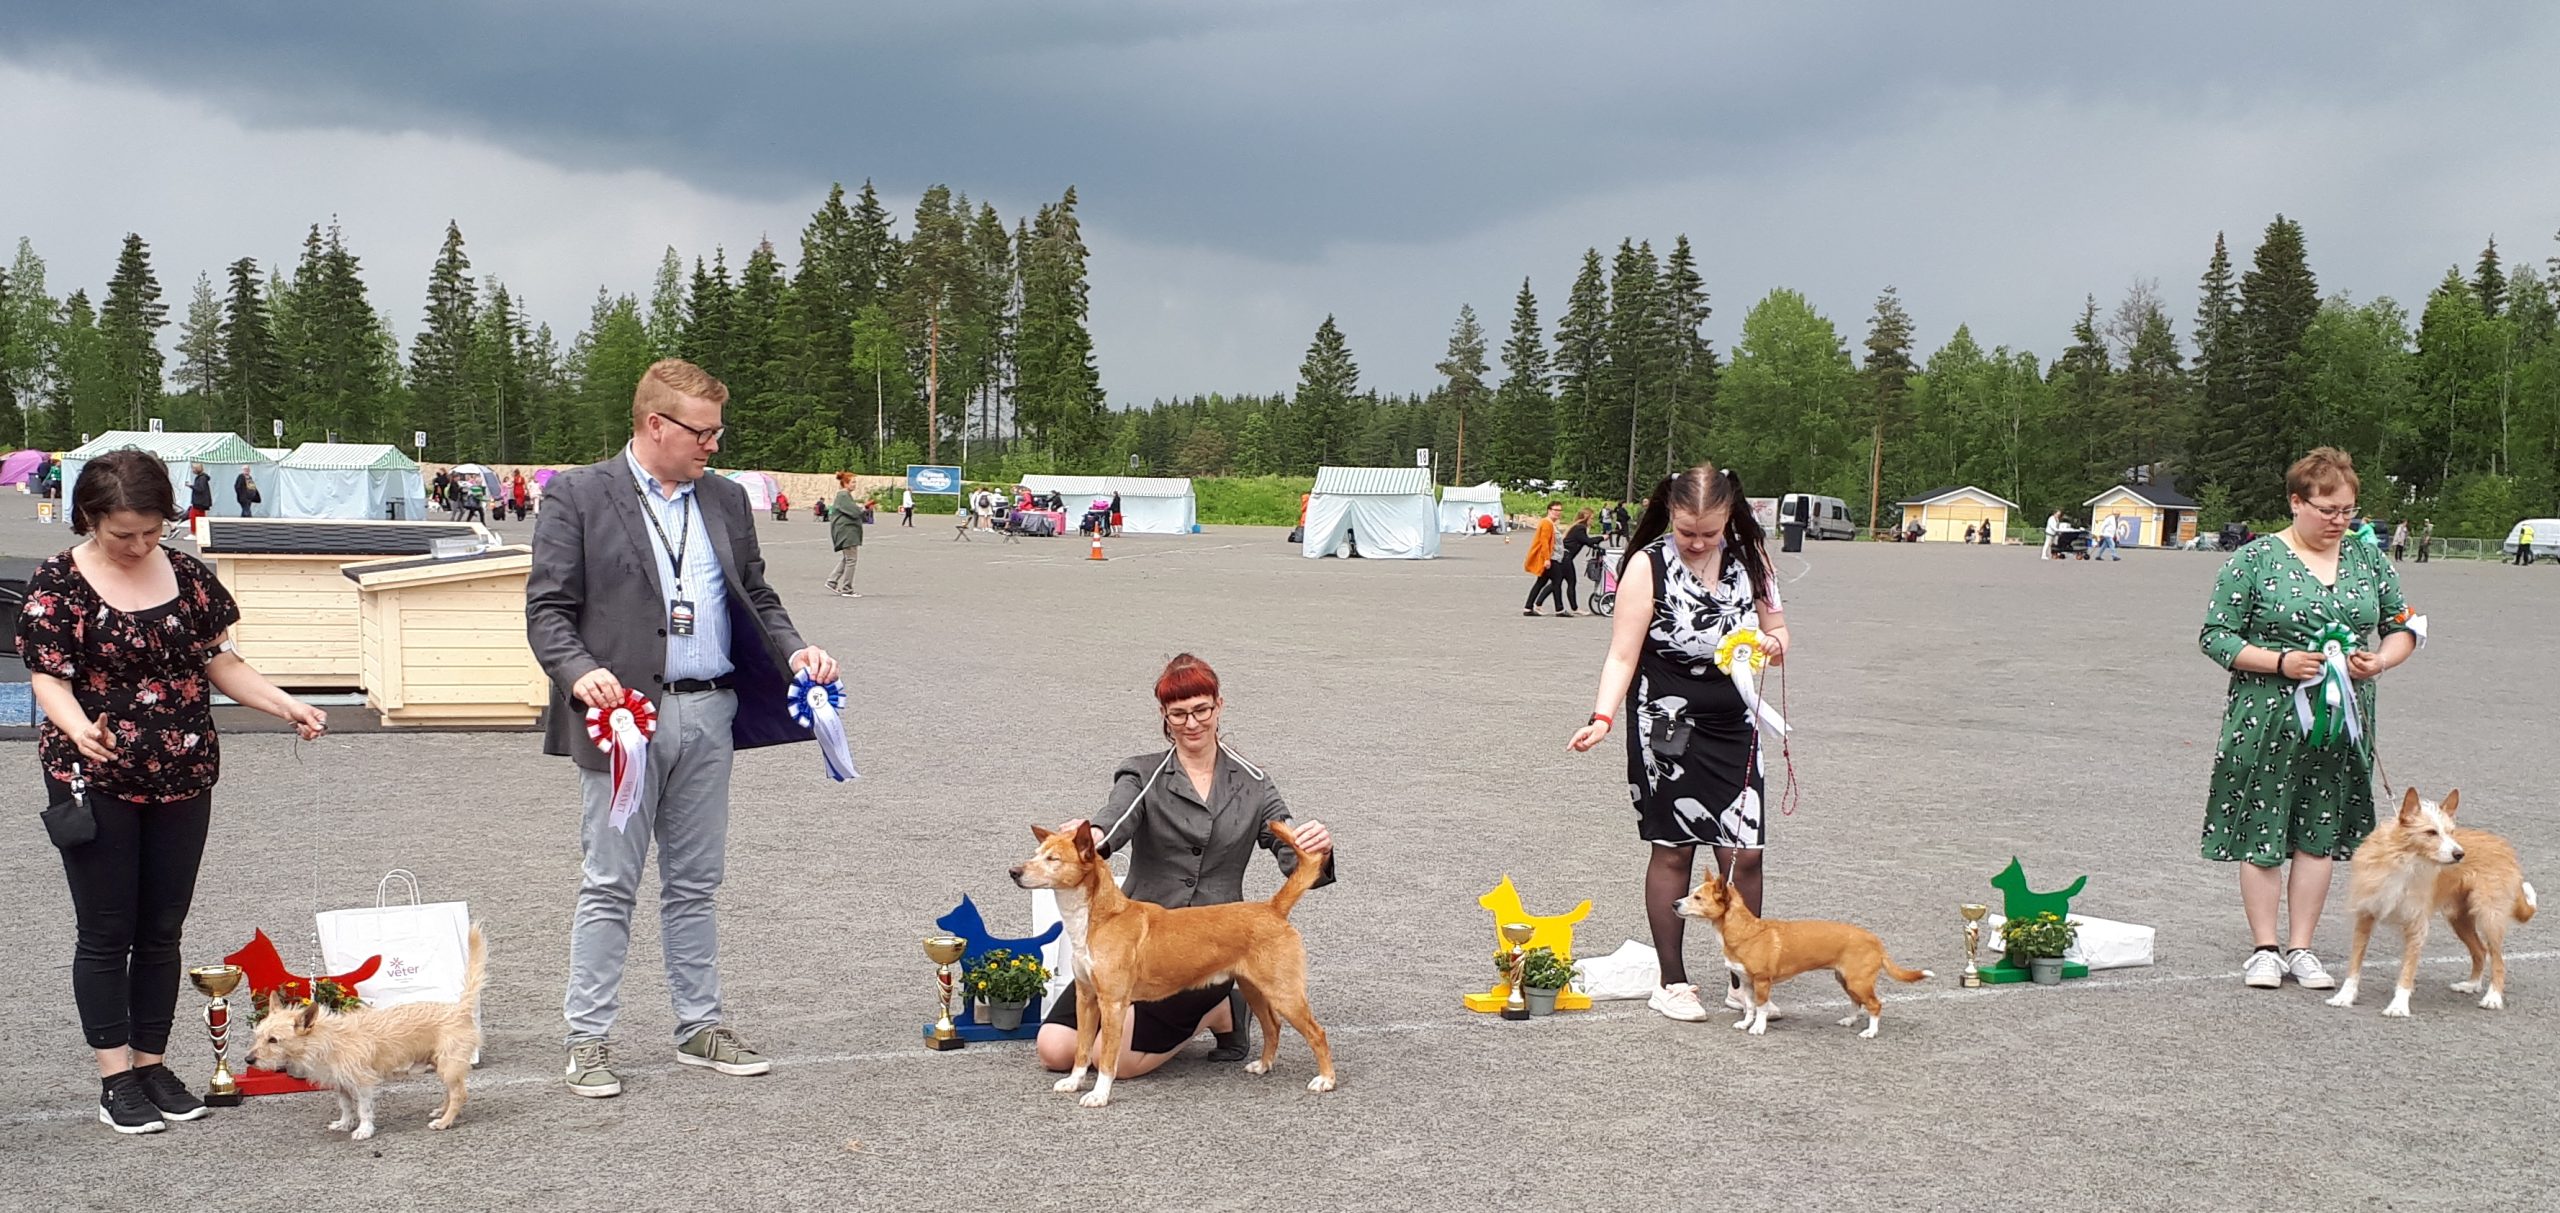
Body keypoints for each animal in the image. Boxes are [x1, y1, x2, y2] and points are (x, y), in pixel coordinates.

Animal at [246, 924, 486, 1140]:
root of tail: (459, 1008)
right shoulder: (340, 1082)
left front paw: (364, 1130)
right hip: (442, 1065)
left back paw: (445, 1121)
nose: (248, 1060)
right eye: (258, 1036)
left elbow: (363, 1109)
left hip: (448, 1066)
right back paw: (441, 1111)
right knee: (451, 1091)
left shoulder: (362, 1082)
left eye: (273, 1040)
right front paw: (344, 1123)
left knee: (460, 1094)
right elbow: (345, 1105)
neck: (326, 1039)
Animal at [1009, 821, 1334, 1107]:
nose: (1014, 872)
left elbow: (1107, 1058)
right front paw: (1074, 1082)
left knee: (1316, 1033)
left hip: (1284, 992)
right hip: (1254, 988)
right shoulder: (1086, 998)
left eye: (1053, 859)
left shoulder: (1112, 1004)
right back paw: (1263, 1065)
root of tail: (1272, 909)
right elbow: (1082, 1049)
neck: (1099, 920)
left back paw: (1326, 1080)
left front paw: (1099, 1096)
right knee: (1272, 1026)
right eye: (1037, 853)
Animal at [1677, 872, 1930, 1038]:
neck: (1745, 930)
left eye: (1698, 898)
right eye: (1692, 894)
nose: (1674, 904)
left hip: (1858, 981)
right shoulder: (1747, 983)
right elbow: (1749, 1007)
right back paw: (1849, 1020)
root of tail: (1877, 941)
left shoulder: (1762, 982)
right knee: (1857, 1003)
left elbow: (1761, 1007)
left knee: (1875, 1005)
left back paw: (1870, 1031)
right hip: (1846, 980)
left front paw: (1758, 1028)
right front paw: (1745, 1024)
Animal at [2327, 789, 2538, 1017]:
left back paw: (2493, 997)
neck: (2404, 861)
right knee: (2480, 951)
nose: (2459, 854)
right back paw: (2471, 984)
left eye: (2452, 832)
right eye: (2430, 832)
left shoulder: (2416, 925)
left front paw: (2398, 1005)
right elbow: (2354, 965)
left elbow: (2407, 970)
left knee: (2498, 960)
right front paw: (2344, 996)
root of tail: (2505, 847)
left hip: (2490, 918)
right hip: (2459, 918)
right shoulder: (2365, 917)